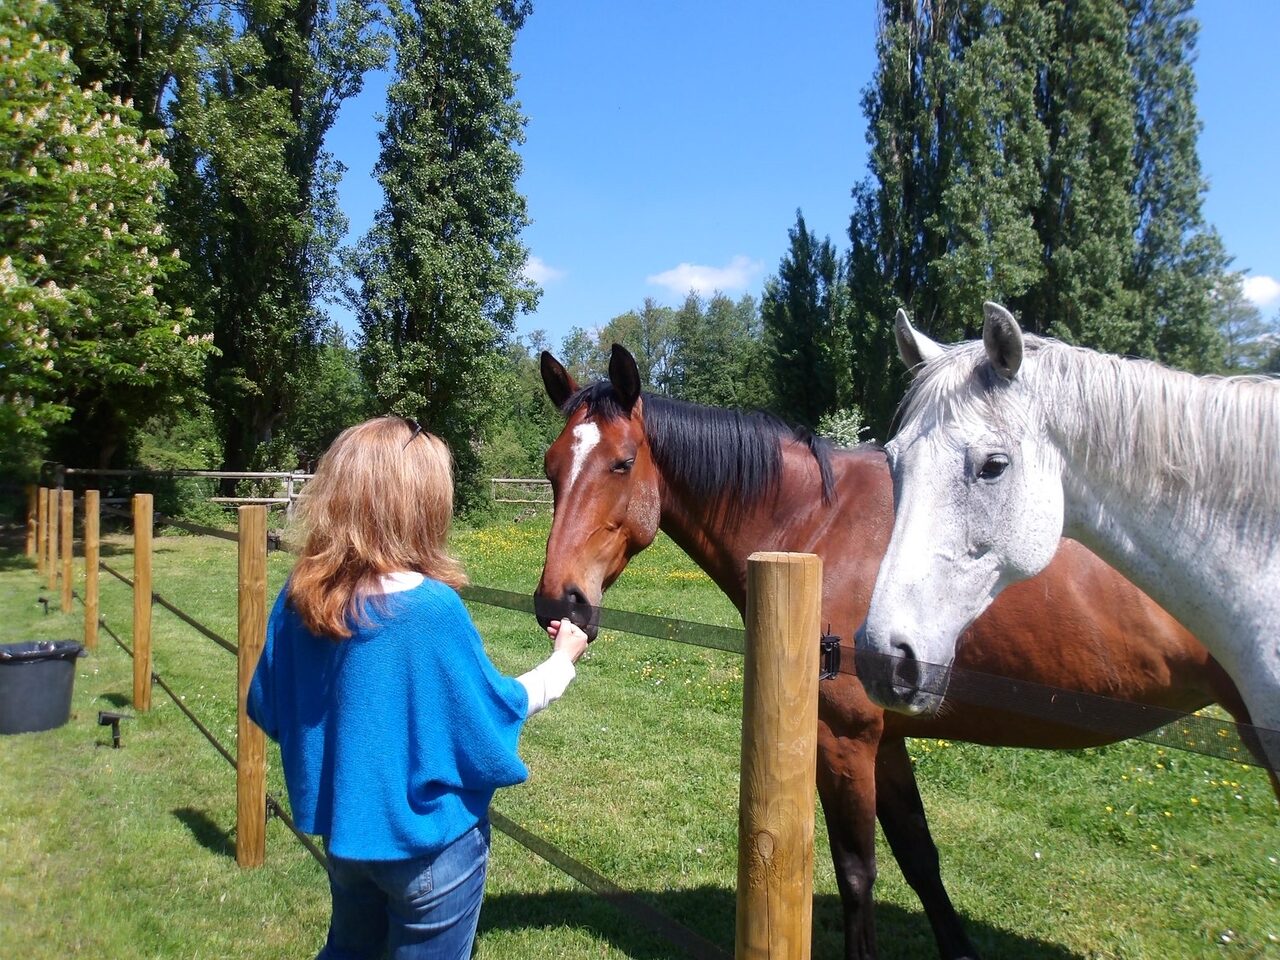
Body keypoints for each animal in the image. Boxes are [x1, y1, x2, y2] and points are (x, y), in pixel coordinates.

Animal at [533, 344, 1266, 960]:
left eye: (622, 462)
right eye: (551, 468)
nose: (558, 603)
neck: (817, 526)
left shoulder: (843, 740)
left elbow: (858, 872)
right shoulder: (884, 740)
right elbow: (920, 858)